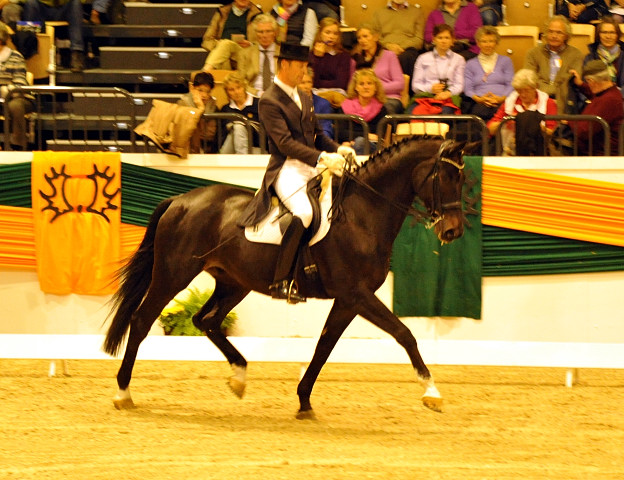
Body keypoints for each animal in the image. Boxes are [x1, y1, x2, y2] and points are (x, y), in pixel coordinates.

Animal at [103, 135, 478, 416]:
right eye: (447, 177)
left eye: (462, 179)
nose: (454, 232)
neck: (362, 214)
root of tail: (180, 199)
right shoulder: (357, 294)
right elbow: (404, 334)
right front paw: (431, 391)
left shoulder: (348, 300)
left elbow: (324, 346)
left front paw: (304, 401)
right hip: (173, 274)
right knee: (141, 320)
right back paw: (123, 393)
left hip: (233, 282)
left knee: (205, 320)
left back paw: (239, 375)